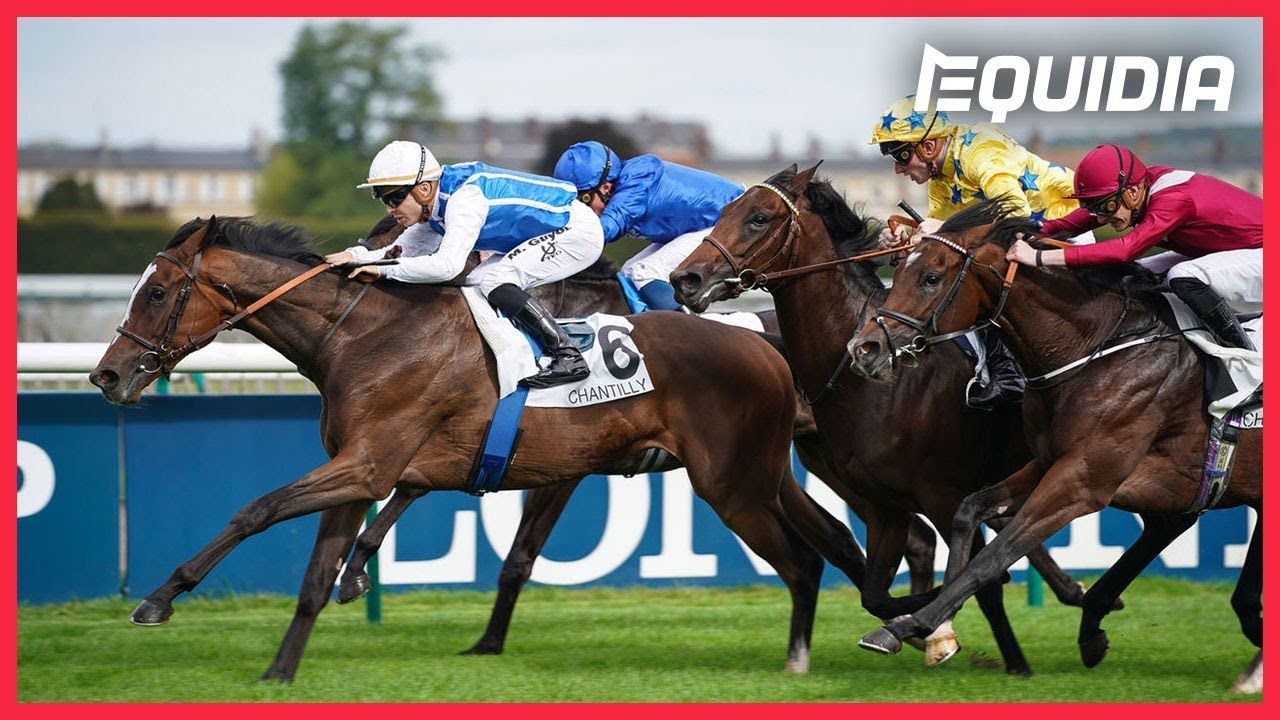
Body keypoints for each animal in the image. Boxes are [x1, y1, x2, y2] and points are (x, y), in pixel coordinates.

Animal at [88, 215, 871, 682]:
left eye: (155, 292)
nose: (107, 375)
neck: (365, 335)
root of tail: (765, 349)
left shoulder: (369, 464)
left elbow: (256, 510)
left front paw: (157, 600)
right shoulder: (360, 471)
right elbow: (314, 575)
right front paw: (282, 670)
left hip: (731, 483)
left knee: (803, 561)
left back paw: (814, 654)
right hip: (761, 473)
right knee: (831, 540)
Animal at [670, 163, 1102, 675]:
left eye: (759, 217)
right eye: (725, 211)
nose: (686, 278)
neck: (885, 383)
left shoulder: (943, 495)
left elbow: (982, 581)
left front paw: (1008, 659)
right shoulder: (883, 502)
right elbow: (878, 593)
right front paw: (929, 631)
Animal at [847, 198, 1262, 693]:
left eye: (931, 277)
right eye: (897, 266)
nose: (864, 349)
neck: (1097, 348)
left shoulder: (1082, 480)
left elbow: (998, 553)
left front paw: (906, 626)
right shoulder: (1048, 461)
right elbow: (970, 511)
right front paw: (938, 621)